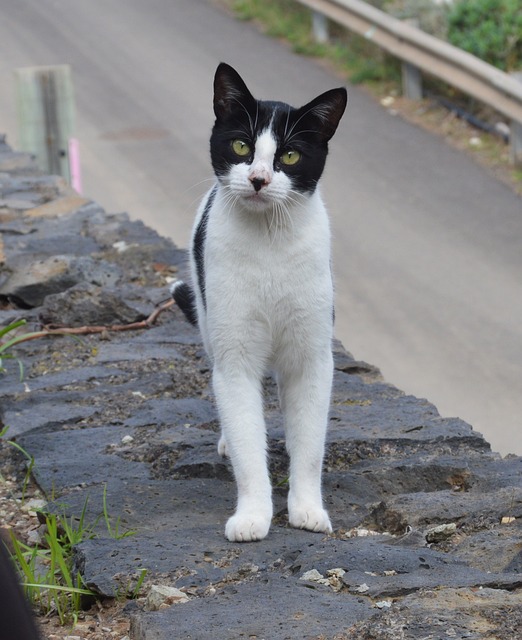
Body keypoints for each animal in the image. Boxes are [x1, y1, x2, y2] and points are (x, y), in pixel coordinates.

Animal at [173, 62, 348, 544]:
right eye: (241, 146)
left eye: (288, 156)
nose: (258, 179)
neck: (269, 239)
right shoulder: (234, 355)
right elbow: (248, 442)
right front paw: (253, 516)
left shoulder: (312, 356)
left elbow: (309, 445)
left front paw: (307, 509)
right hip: (208, 316)